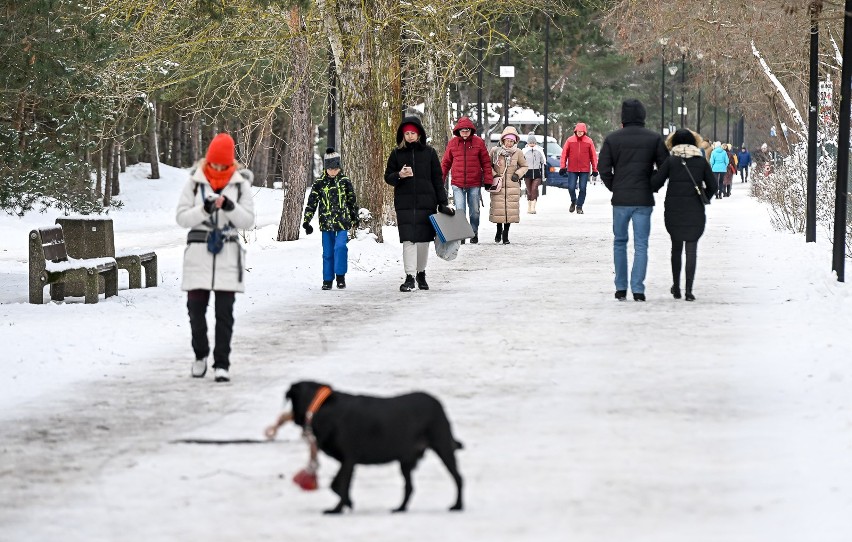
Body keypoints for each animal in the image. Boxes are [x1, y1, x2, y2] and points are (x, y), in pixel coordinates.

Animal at [286, 380, 462, 516]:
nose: (293, 419)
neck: (322, 408)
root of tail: (437, 402)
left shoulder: (348, 460)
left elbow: (339, 485)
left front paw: (337, 509)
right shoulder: (348, 463)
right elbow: (338, 485)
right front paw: (348, 503)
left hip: (443, 447)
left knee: (458, 478)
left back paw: (458, 506)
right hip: (405, 461)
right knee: (409, 487)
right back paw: (401, 508)